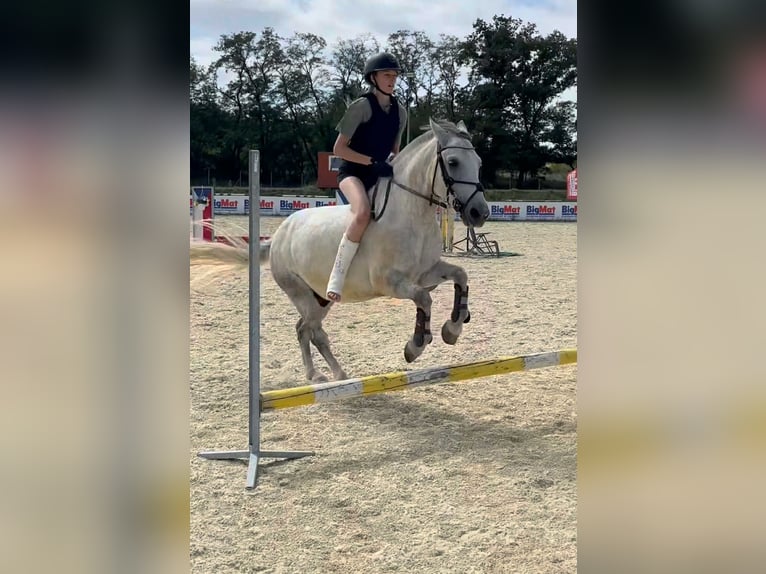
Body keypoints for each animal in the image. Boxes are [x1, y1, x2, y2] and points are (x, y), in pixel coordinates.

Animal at [195, 118, 490, 382]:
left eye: (479, 163)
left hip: (319, 298)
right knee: (310, 331)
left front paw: (453, 328)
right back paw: (322, 375)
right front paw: (415, 346)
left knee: (307, 330)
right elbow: (424, 299)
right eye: (453, 162)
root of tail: (278, 237)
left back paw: (331, 374)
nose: (480, 213)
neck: (411, 213)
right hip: (302, 294)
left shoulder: (426, 273)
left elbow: (460, 276)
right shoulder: (390, 283)